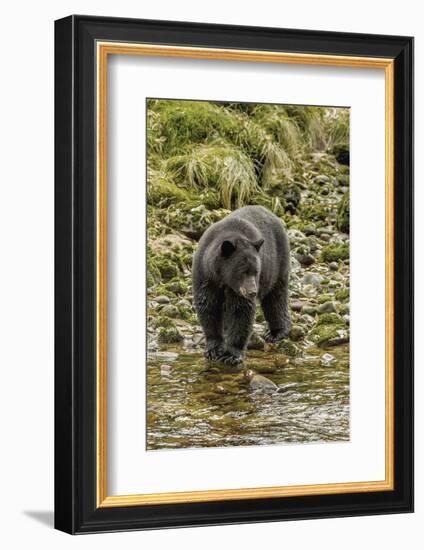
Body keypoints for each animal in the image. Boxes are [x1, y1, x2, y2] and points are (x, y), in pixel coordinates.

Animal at [193, 205, 290, 364]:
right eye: (243, 272)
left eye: (256, 271)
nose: (253, 292)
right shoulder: (205, 275)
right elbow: (208, 305)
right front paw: (213, 349)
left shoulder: (238, 289)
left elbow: (240, 310)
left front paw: (231, 354)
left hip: (277, 263)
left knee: (276, 297)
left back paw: (276, 332)